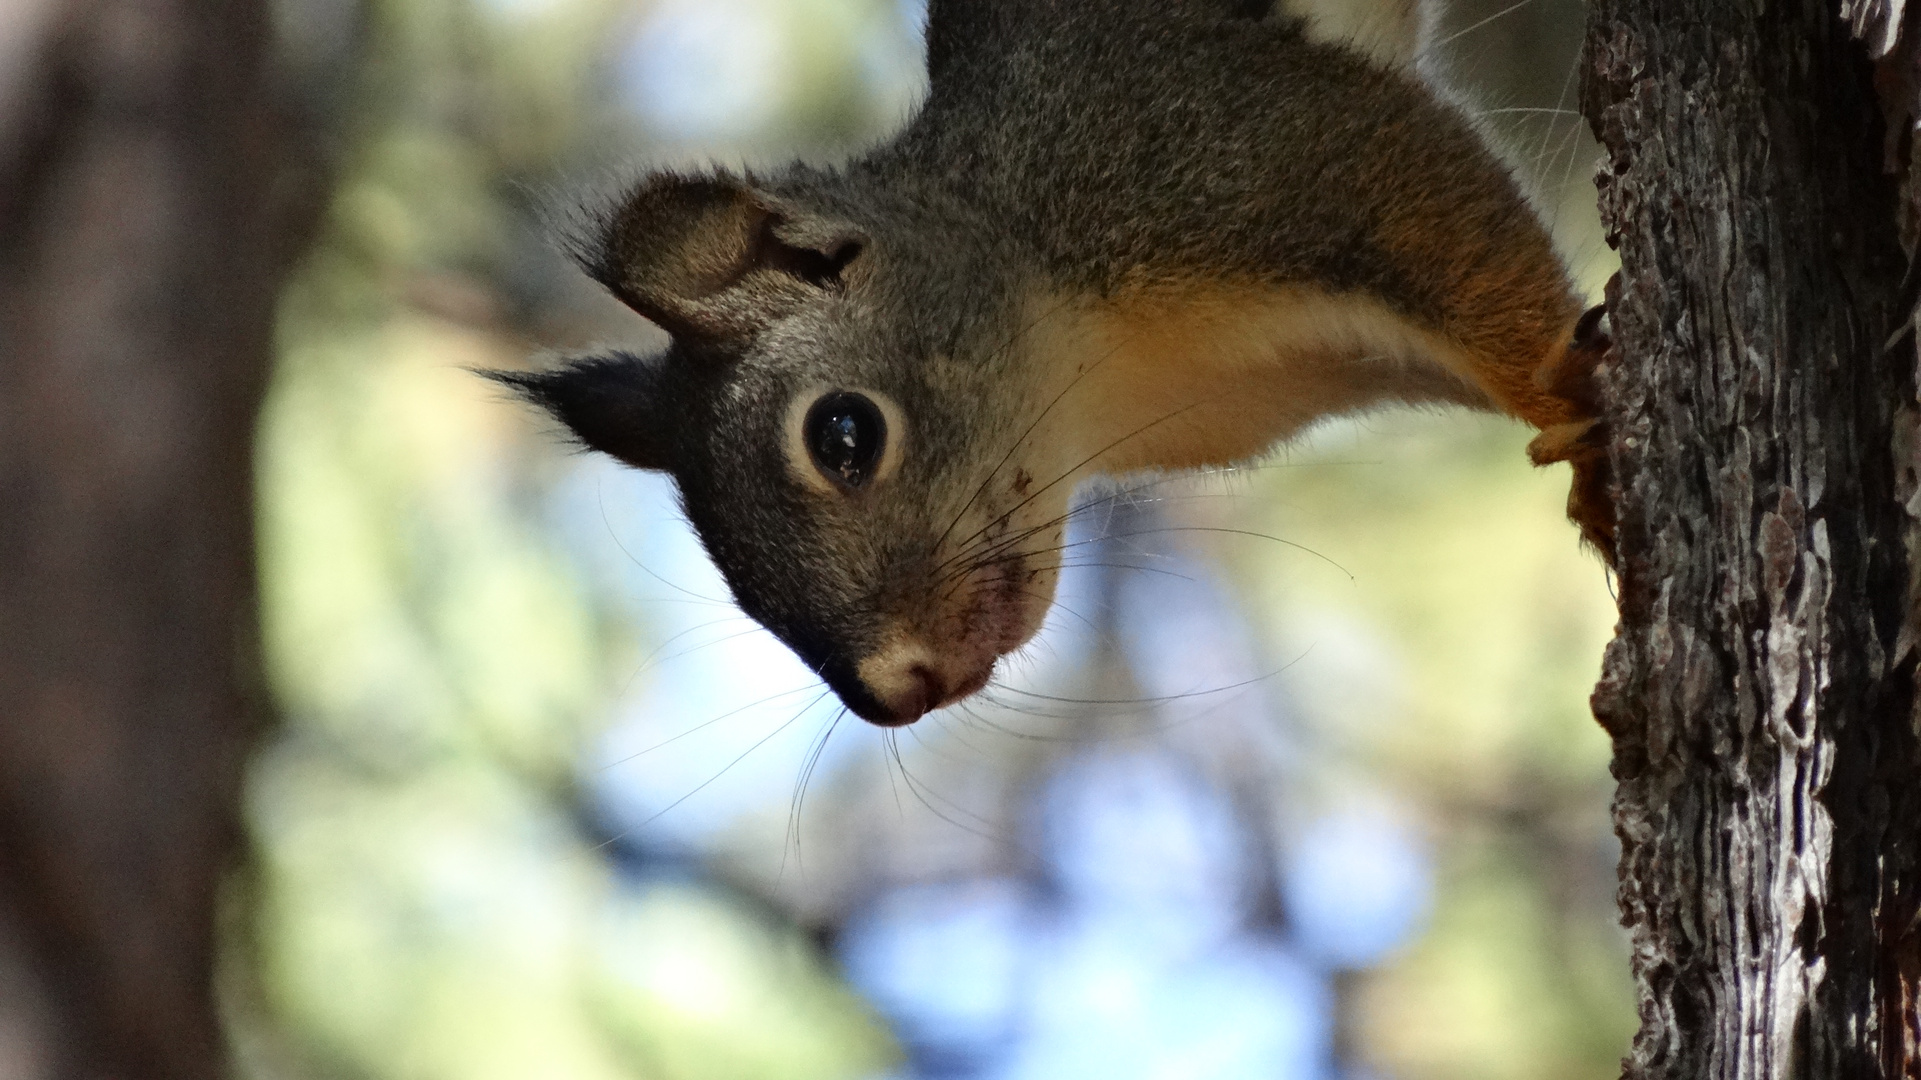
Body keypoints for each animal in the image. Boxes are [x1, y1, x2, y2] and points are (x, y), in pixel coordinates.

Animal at [495, 0, 1605, 726]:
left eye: (844, 433)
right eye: (731, 578)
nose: (897, 693)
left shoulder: (1244, 151)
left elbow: (1459, 232)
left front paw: (1576, 416)